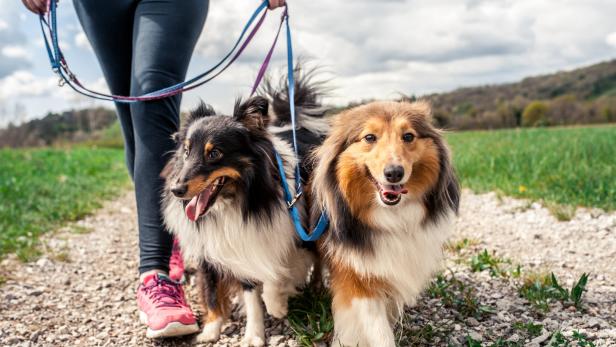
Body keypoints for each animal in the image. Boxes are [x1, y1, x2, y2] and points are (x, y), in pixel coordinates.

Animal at [310, 99, 460, 346]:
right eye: (370, 137)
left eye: (408, 136)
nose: (394, 173)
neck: (390, 216)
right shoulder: (356, 277)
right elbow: (378, 329)